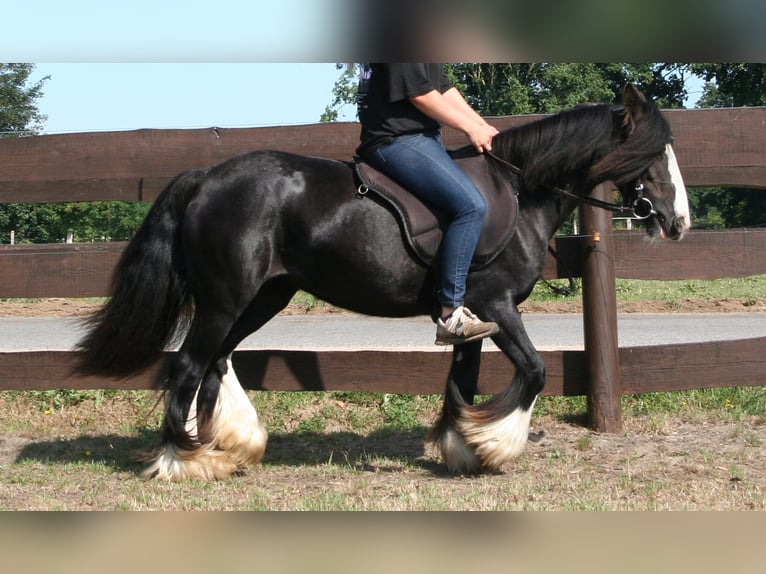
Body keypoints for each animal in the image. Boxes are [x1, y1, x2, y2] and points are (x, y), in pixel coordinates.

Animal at [75, 85, 692, 482]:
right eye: (655, 156)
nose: (678, 222)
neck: (520, 193)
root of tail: (206, 178)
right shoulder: (496, 304)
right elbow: (536, 371)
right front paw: (494, 445)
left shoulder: (470, 316)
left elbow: (461, 381)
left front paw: (461, 447)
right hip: (226, 299)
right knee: (187, 364)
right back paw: (182, 460)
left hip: (262, 296)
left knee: (215, 361)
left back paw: (229, 446)